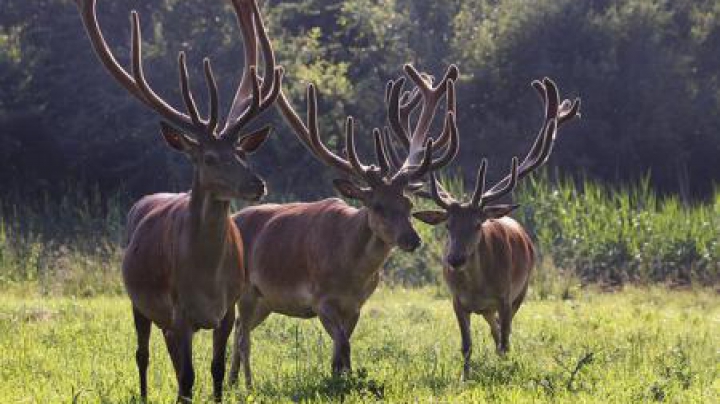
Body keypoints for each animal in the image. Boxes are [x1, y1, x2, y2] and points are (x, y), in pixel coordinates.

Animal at [75, 0, 282, 400]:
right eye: (209, 158)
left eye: (241, 153)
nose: (258, 184)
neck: (206, 280)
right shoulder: (180, 309)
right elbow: (187, 376)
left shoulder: (227, 309)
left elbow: (215, 370)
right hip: (138, 302)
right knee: (143, 355)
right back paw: (144, 394)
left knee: (170, 355)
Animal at [228, 64, 458, 388]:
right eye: (377, 206)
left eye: (409, 205)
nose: (412, 239)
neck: (351, 273)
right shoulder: (320, 299)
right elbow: (343, 344)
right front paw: (341, 381)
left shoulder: (356, 305)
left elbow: (343, 345)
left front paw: (340, 377)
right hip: (247, 290)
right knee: (241, 333)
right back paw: (246, 384)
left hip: (265, 300)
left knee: (239, 328)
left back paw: (233, 381)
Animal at [410, 78, 580, 378]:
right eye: (448, 225)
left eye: (478, 224)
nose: (454, 259)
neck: (477, 285)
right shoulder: (456, 301)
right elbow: (467, 345)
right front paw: (465, 377)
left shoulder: (505, 296)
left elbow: (505, 341)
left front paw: (503, 370)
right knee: (494, 330)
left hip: (522, 290)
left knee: (503, 333)